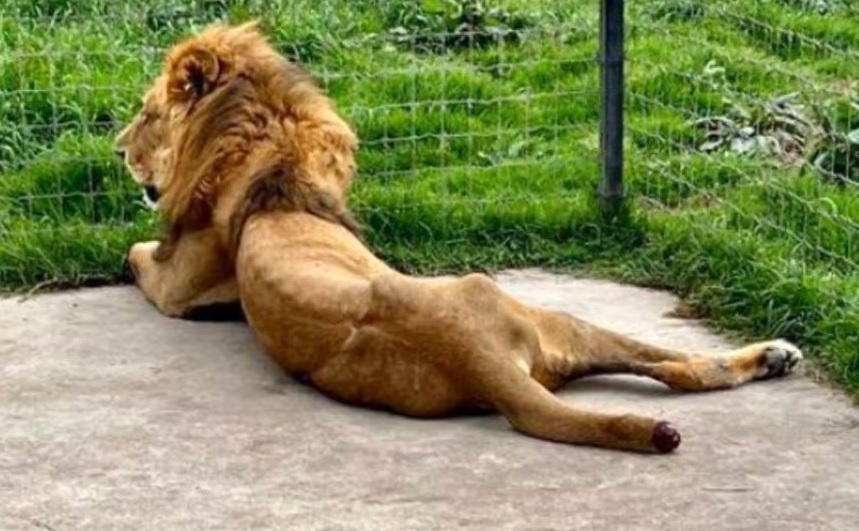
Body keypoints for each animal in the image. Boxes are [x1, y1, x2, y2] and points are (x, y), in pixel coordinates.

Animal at [115, 21, 803, 453]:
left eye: (147, 115)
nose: (117, 149)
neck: (267, 142)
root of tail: (477, 356)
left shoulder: (180, 286)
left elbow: (134, 251)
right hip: (559, 328)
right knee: (683, 370)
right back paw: (773, 357)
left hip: (533, 310)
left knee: (678, 366)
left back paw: (774, 355)